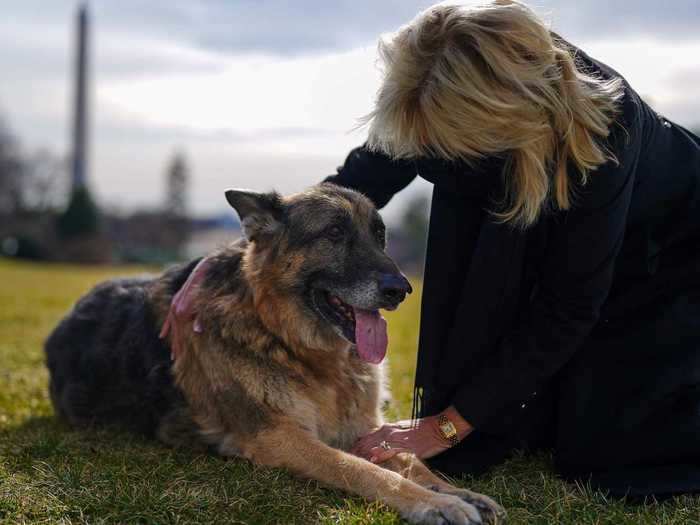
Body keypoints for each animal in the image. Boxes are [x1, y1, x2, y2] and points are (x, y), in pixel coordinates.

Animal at [45, 184, 504, 524]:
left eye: (379, 235)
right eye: (333, 233)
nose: (401, 289)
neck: (293, 344)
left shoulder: (366, 429)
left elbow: (412, 460)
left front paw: (458, 492)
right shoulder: (280, 437)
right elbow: (362, 469)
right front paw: (435, 503)